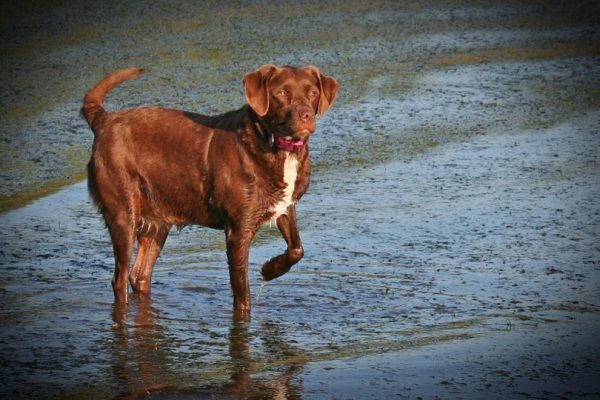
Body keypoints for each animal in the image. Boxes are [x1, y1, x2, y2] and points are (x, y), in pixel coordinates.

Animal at [81, 66, 338, 316]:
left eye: (312, 92)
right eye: (282, 93)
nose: (306, 115)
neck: (275, 147)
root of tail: (105, 120)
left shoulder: (284, 205)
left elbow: (297, 248)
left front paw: (269, 269)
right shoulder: (238, 230)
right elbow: (242, 293)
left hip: (157, 221)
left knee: (140, 275)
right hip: (123, 212)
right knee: (120, 279)